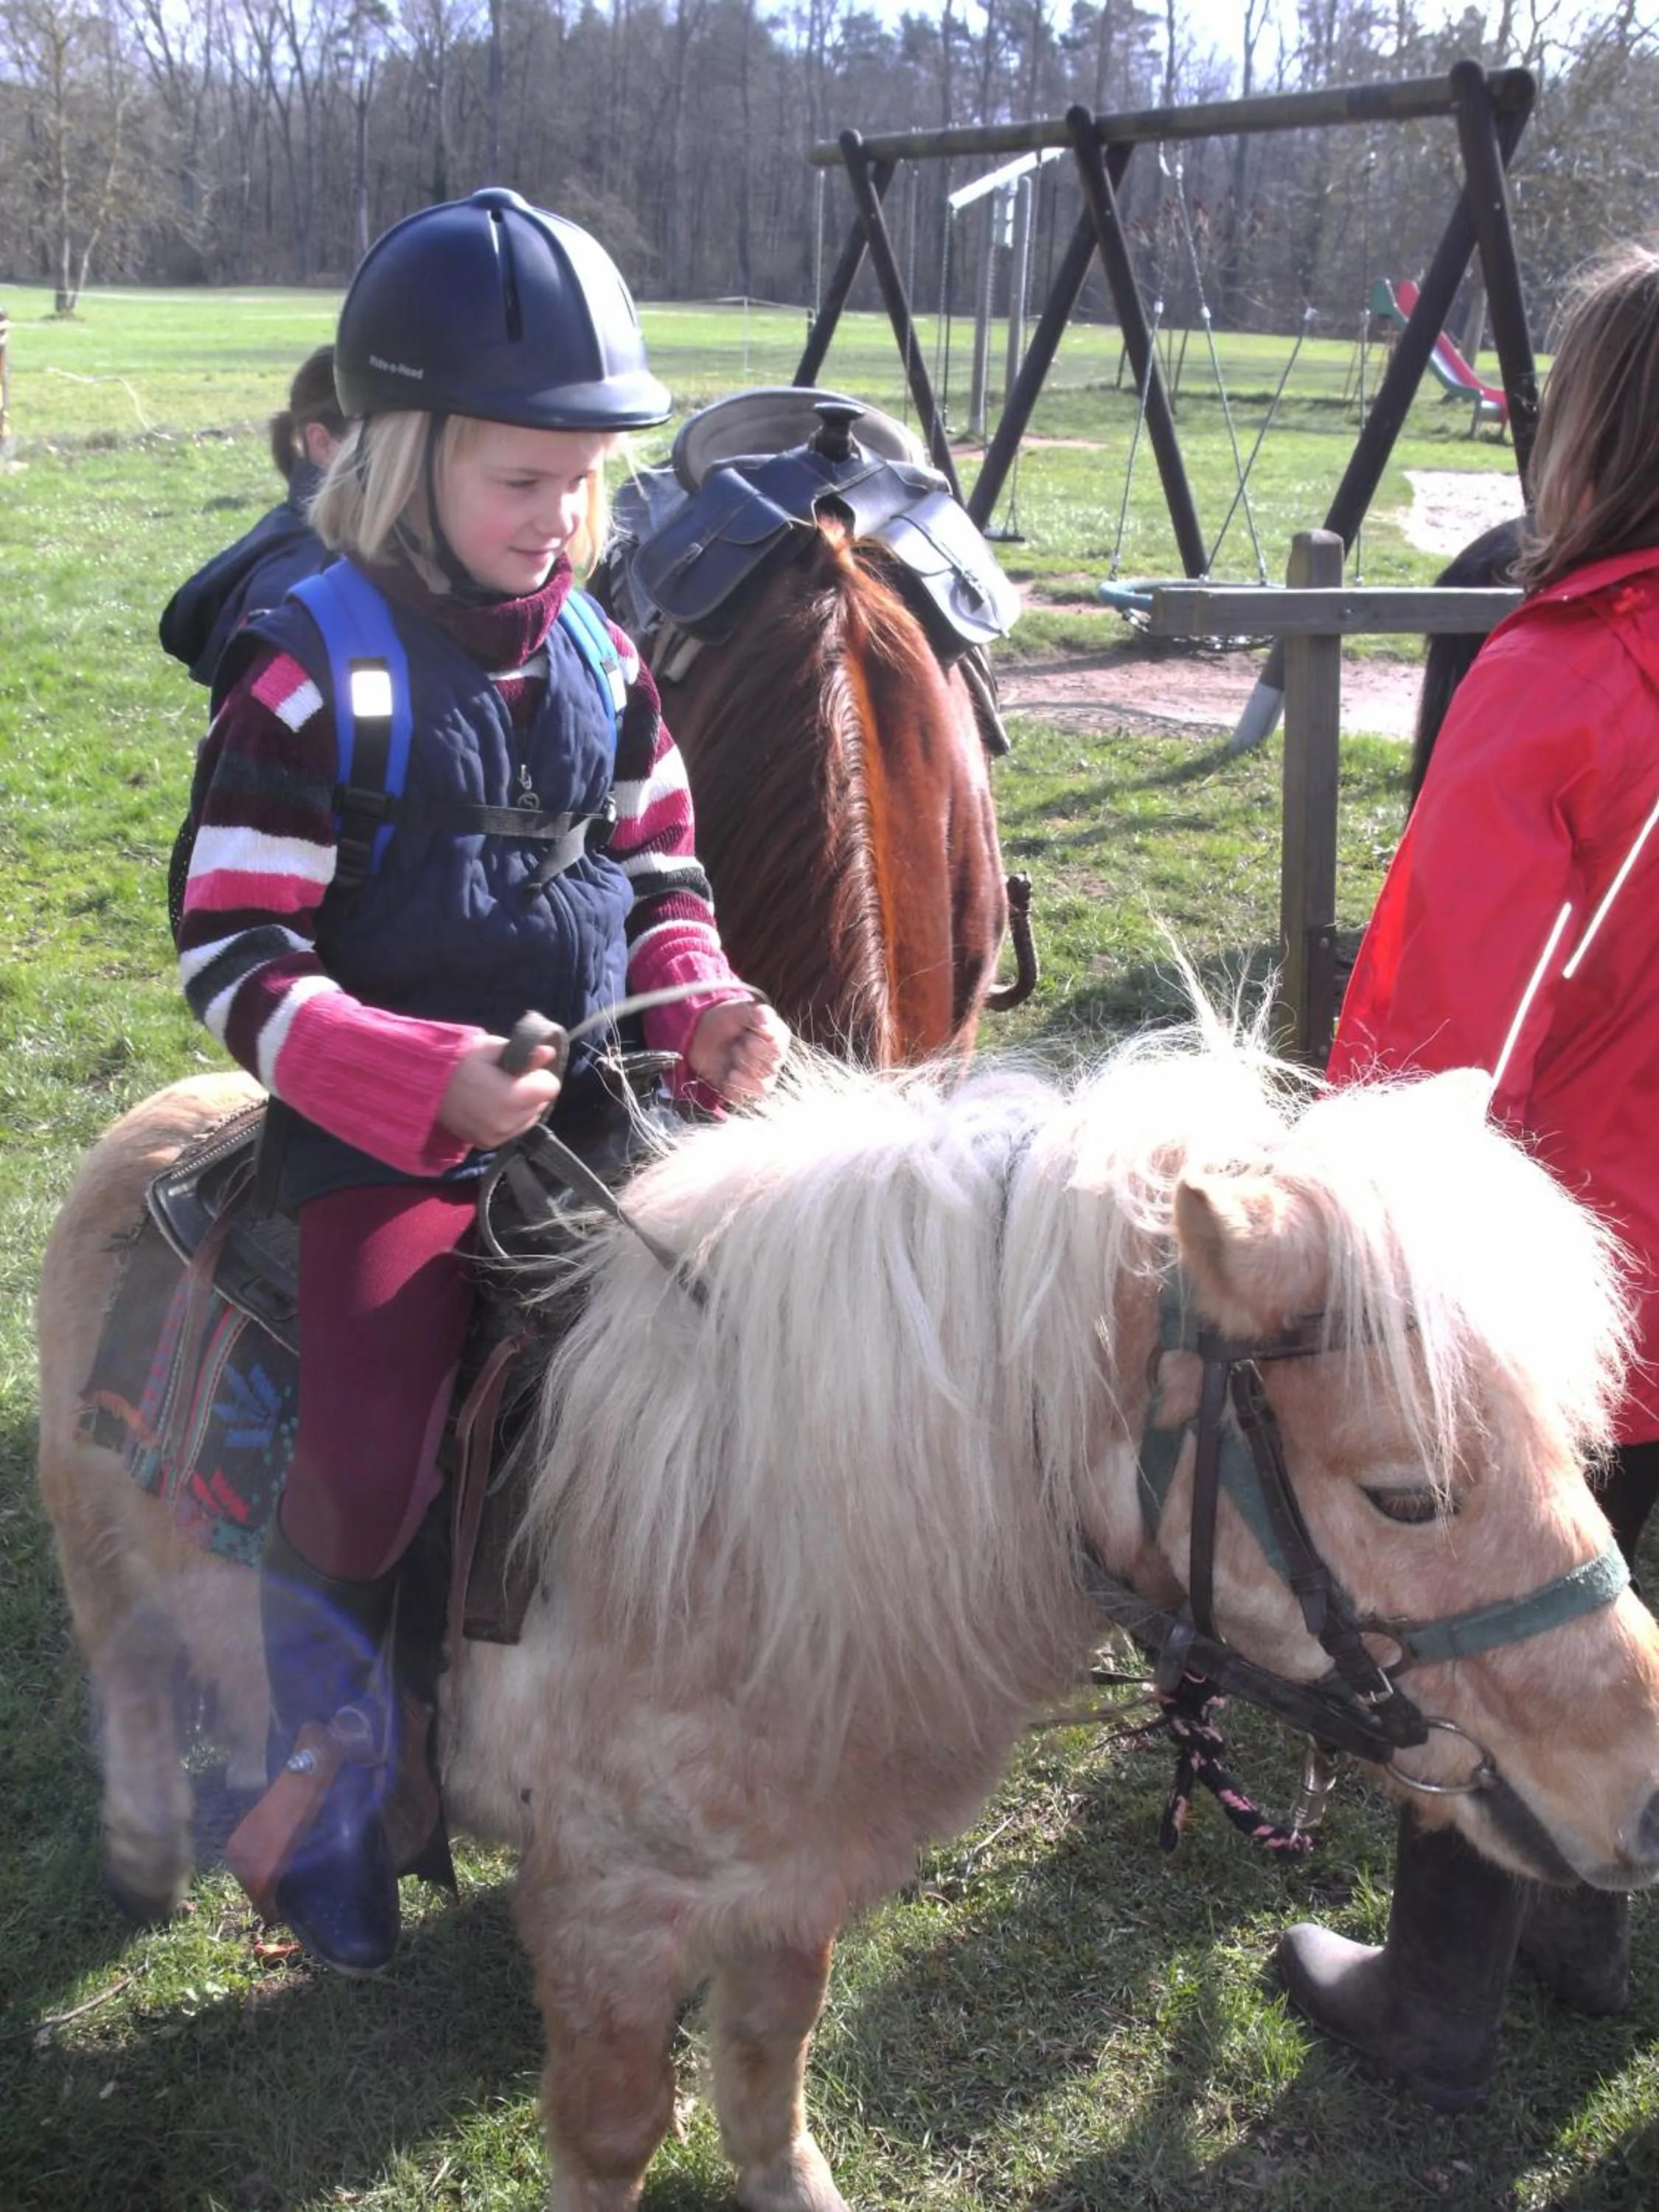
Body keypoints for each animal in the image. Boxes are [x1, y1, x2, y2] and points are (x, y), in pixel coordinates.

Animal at [38, 1015, 1659, 2210]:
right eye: (1404, 1495)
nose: (1643, 1798)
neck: (735, 1549)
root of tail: (159, 1118)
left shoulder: (790, 1879)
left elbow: (767, 2070)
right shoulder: (612, 1916)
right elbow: (615, 2133)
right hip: (100, 1562)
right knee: (133, 1687)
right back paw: (161, 1855)